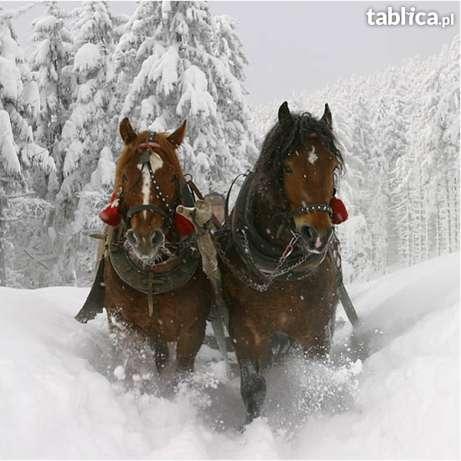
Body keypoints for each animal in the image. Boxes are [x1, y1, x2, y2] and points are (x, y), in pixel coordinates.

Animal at [102, 118, 210, 378]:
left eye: (171, 178)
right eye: (125, 176)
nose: (144, 238)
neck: (153, 274)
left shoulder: (193, 330)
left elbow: (182, 369)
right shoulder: (122, 322)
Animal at [217, 102, 344, 422]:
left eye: (332, 167)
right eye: (287, 167)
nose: (317, 234)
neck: (280, 273)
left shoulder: (317, 330)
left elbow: (315, 378)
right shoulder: (246, 332)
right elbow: (253, 389)